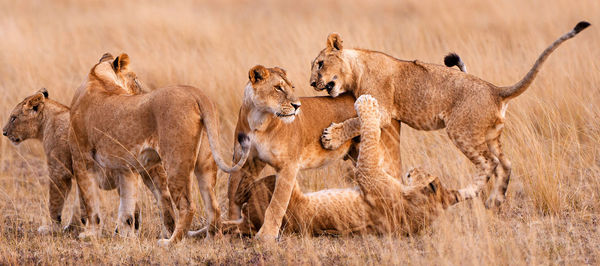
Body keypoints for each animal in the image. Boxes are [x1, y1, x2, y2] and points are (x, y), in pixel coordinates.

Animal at [2, 87, 176, 237]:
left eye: (13, 118)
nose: (3, 132)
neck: (47, 123)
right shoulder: (81, 169)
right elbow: (80, 203)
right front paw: (73, 227)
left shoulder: (59, 170)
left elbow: (55, 202)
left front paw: (53, 228)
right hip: (151, 171)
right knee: (162, 198)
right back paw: (164, 231)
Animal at [68, 53, 251, 246]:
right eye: (135, 78)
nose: (142, 91)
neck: (98, 78)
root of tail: (195, 93)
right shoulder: (126, 169)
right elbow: (126, 210)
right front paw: (126, 238)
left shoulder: (81, 160)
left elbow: (91, 204)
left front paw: (90, 234)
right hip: (205, 163)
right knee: (213, 206)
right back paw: (211, 240)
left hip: (175, 161)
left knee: (187, 206)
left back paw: (170, 242)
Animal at [216, 66, 404, 241]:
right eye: (278, 88)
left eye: (291, 87)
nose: (297, 106)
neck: (258, 121)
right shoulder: (243, 162)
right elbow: (233, 195)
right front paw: (232, 227)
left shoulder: (288, 166)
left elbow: (277, 203)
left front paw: (266, 236)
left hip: (385, 157)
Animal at [220, 94, 468, 236]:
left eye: (423, 174)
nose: (413, 169)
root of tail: (249, 222)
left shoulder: (369, 175)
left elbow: (370, 135)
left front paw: (367, 103)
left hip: (280, 184)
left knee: (248, 191)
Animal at [312, 20, 592, 208]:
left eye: (320, 64)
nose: (312, 83)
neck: (357, 67)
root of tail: (495, 90)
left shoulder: (381, 111)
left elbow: (355, 121)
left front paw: (331, 137)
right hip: (491, 136)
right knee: (506, 164)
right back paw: (494, 201)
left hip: (461, 130)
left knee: (488, 163)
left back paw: (468, 192)